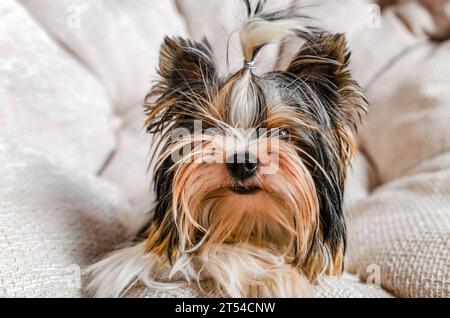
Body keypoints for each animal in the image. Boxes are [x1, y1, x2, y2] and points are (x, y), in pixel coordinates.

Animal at [84, 0, 366, 298]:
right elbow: (215, 251)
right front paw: (279, 279)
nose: (243, 162)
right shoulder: (134, 259)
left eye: (283, 133)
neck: (247, 219)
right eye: (208, 129)